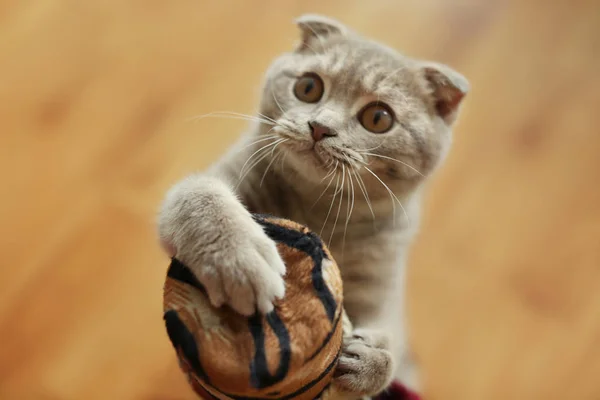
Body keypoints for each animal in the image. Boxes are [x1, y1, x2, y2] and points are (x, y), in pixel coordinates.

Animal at [159, 14, 468, 398]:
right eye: (308, 87)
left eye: (378, 118)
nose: (320, 127)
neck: (315, 208)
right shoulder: (221, 176)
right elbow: (199, 195)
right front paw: (240, 262)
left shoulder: (383, 281)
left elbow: (391, 335)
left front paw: (372, 360)